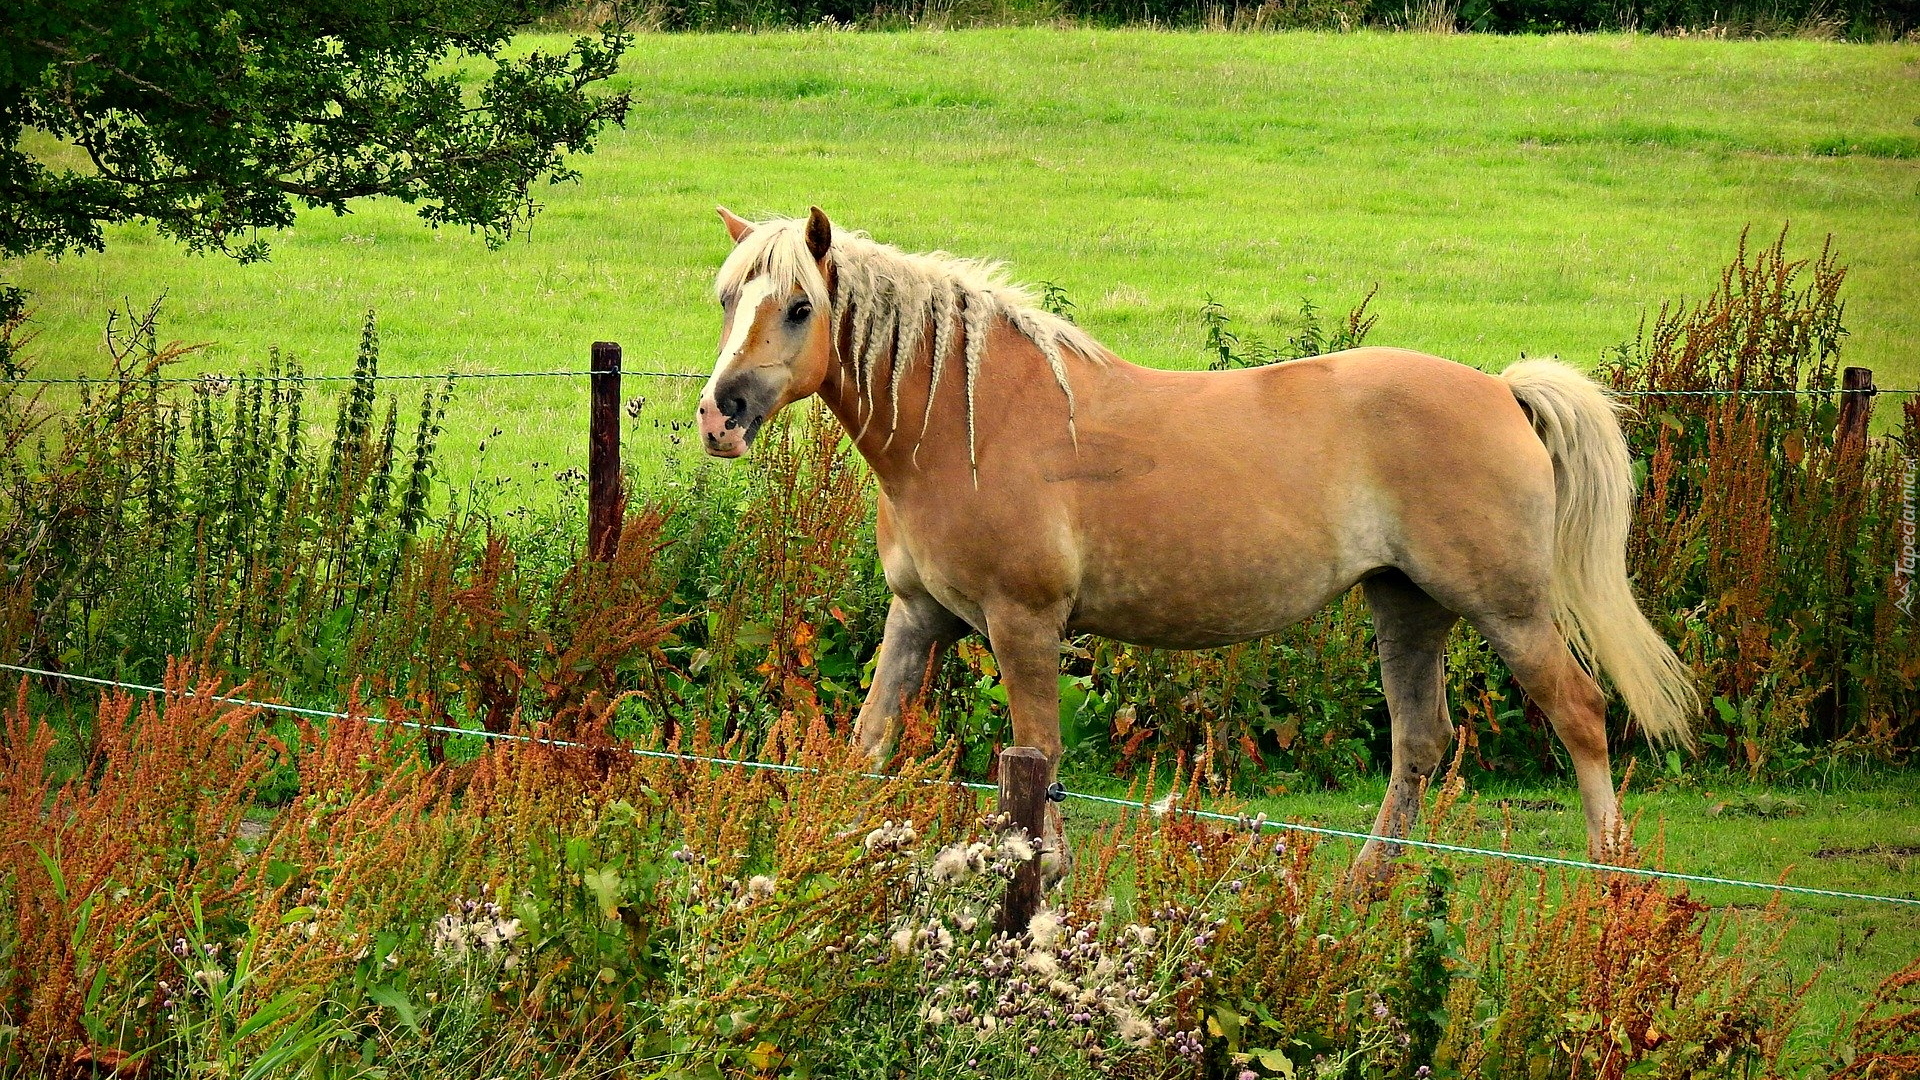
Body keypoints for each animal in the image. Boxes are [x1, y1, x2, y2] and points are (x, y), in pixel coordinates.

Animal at [695, 203, 1697, 876]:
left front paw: (1045, 887)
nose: (721, 414)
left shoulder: (1025, 626)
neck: (969, 421)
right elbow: (866, 747)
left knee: (1582, 715)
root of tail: (1501, 391)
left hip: (1509, 610)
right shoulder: (918, 617)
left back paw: (1607, 875)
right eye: (727, 300)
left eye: (797, 307)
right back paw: (1364, 891)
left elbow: (1040, 762)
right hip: (1408, 609)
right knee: (1421, 741)